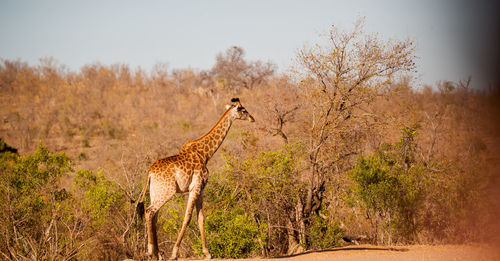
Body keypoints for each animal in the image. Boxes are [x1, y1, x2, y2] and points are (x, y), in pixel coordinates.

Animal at [136, 97, 254, 258]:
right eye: (244, 110)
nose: (253, 118)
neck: (205, 153)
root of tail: (150, 173)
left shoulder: (201, 189)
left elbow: (201, 218)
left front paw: (207, 253)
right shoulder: (195, 187)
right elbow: (187, 218)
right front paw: (175, 253)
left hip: (155, 192)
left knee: (154, 215)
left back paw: (158, 254)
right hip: (167, 192)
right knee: (149, 212)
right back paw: (150, 251)